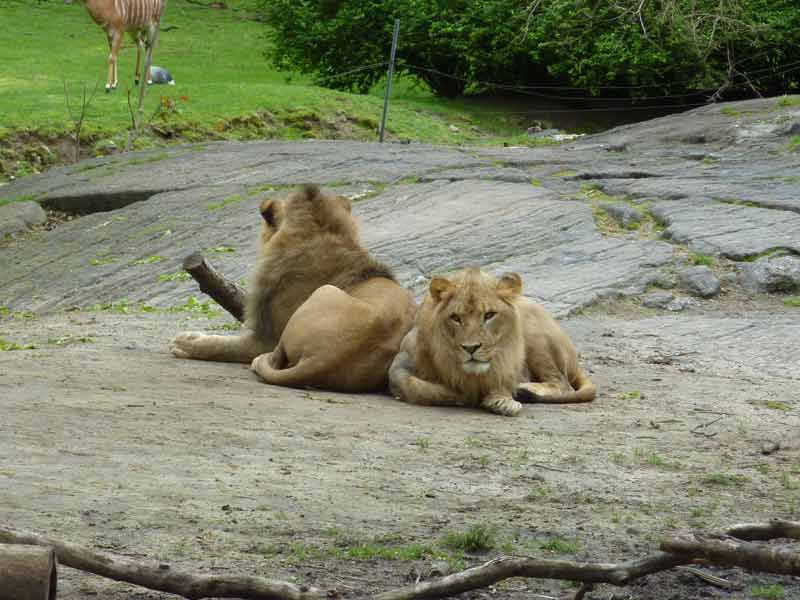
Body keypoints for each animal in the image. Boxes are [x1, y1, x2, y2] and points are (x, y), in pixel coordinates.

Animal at [171, 185, 416, 396]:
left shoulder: (266, 336)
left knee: (272, 359)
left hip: (322, 293)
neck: (319, 234)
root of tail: (322, 360)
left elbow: (222, 345)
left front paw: (184, 342)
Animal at [388, 268, 592, 418]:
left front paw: (503, 400)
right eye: (455, 318)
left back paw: (523, 388)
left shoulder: (505, 364)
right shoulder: (400, 362)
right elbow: (414, 384)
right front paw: (457, 394)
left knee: (562, 383)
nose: (471, 348)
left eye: (489, 315)